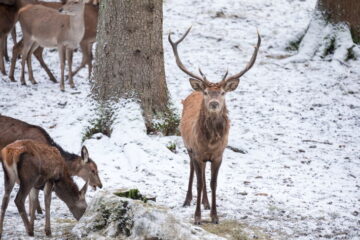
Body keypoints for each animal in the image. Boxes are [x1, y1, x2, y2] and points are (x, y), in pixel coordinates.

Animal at [167, 28, 260, 225]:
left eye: (223, 92)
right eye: (206, 92)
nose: (214, 103)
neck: (210, 143)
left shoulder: (218, 155)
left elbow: (213, 183)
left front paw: (215, 215)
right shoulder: (197, 152)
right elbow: (200, 182)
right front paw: (197, 217)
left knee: (203, 176)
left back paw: (206, 203)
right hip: (188, 147)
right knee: (193, 171)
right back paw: (188, 200)